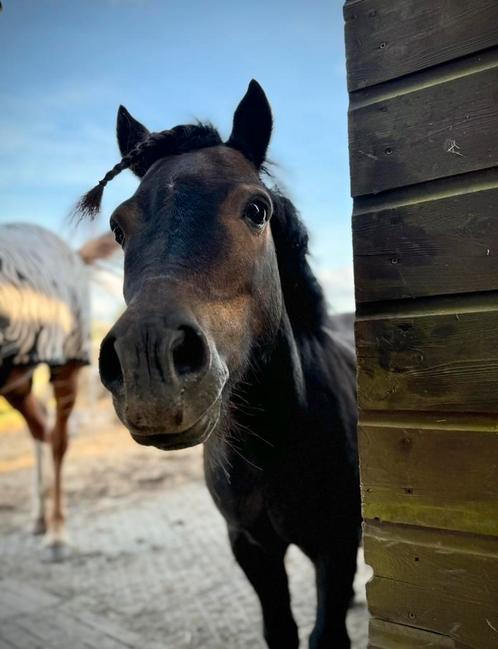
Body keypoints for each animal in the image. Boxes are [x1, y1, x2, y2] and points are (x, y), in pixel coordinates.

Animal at [76, 82, 360, 648]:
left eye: (257, 209)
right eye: (118, 227)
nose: (148, 362)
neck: (275, 446)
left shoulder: (335, 549)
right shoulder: (250, 548)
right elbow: (280, 630)